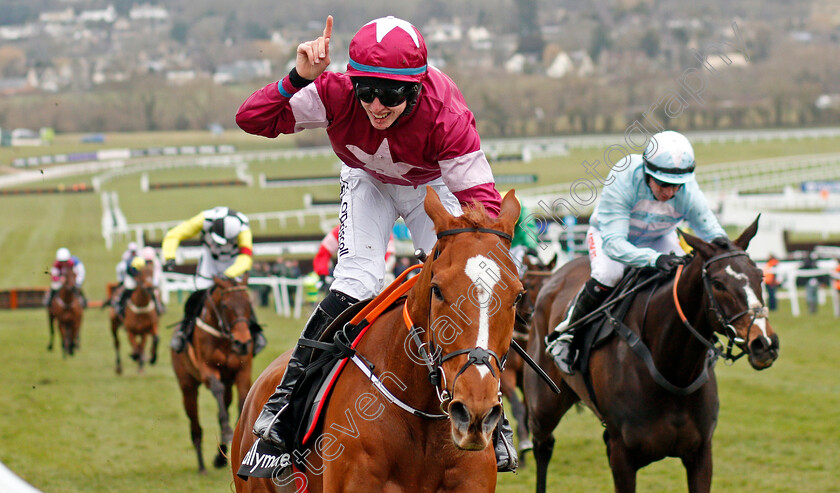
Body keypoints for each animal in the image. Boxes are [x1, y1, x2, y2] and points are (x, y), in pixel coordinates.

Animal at [172, 274, 254, 470]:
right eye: (225, 305)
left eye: (248, 303)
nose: (242, 343)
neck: (224, 338)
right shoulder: (206, 369)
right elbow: (216, 388)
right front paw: (227, 431)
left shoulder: (243, 370)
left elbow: (243, 399)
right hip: (187, 387)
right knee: (195, 425)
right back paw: (202, 465)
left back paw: (219, 455)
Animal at [524, 219, 780, 492]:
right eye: (718, 284)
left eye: (760, 276)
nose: (764, 343)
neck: (673, 369)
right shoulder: (622, 454)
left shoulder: (701, 454)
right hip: (543, 405)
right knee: (543, 446)